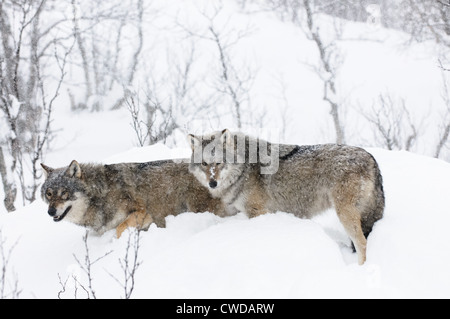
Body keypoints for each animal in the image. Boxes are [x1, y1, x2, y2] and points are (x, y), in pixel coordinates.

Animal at [40, 159, 227, 238]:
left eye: (64, 193)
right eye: (49, 194)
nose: (50, 212)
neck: (100, 195)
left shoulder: (145, 212)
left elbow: (120, 228)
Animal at [188, 129, 384, 264]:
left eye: (219, 162)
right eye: (204, 163)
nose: (213, 183)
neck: (243, 168)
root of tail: (371, 157)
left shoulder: (257, 211)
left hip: (345, 214)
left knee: (362, 243)